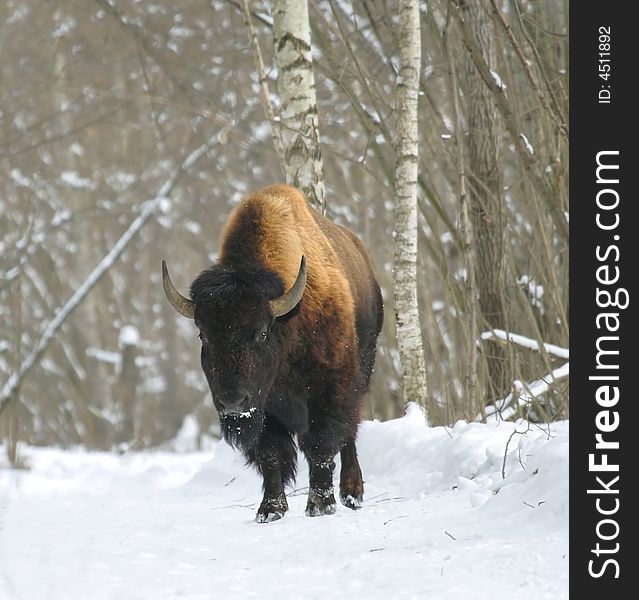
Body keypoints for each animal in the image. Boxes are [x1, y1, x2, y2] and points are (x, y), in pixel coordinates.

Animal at [162, 183, 382, 520]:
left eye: (262, 332)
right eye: (204, 335)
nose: (232, 403)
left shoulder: (330, 390)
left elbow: (321, 445)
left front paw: (320, 505)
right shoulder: (263, 408)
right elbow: (270, 454)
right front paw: (270, 510)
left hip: (364, 368)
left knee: (349, 435)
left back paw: (351, 494)